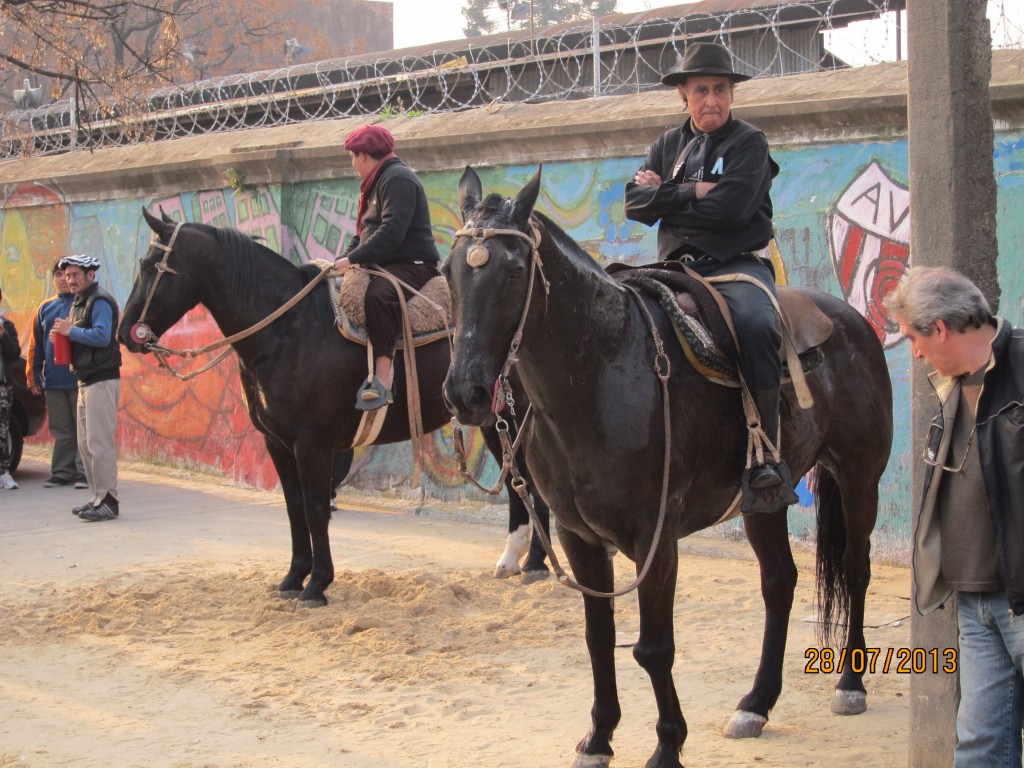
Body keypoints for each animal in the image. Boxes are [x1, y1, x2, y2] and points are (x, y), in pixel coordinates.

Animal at [117, 208, 552, 606]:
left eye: (149, 265)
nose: (125, 333)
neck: (289, 328)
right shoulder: (278, 443)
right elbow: (294, 509)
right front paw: (293, 577)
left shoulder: (311, 444)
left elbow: (314, 509)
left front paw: (317, 584)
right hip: (491, 419)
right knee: (519, 483)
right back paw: (515, 560)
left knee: (531, 483)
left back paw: (534, 562)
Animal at [444, 169, 892, 768]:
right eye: (449, 272)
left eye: (514, 271)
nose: (464, 391)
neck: (601, 372)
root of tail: (848, 319)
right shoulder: (578, 537)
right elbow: (598, 637)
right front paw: (599, 737)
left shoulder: (654, 539)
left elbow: (654, 648)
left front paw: (667, 745)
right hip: (764, 503)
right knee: (780, 581)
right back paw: (756, 702)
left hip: (859, 476)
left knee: (855, 568)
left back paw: (849, 683)